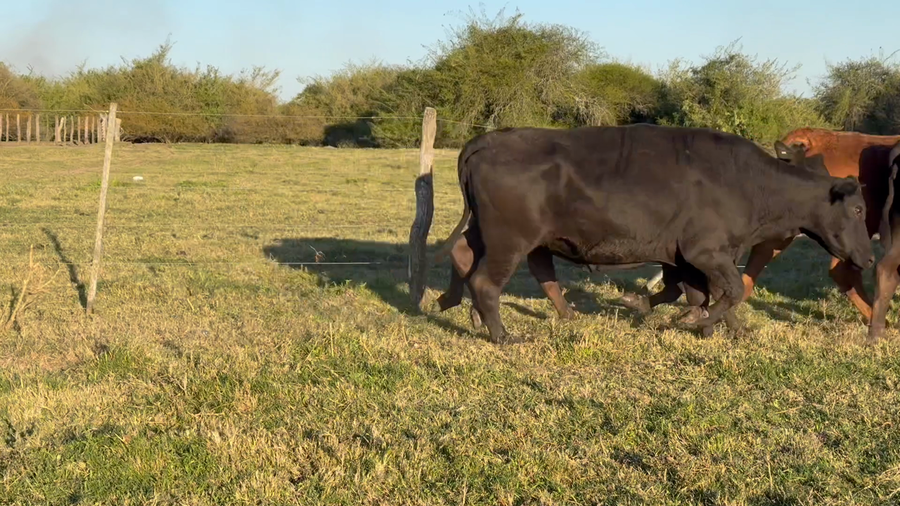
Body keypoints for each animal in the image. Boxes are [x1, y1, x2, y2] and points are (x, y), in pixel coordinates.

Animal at [431, 124, 873, 344]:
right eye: (857, 209)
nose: (869, 258)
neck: (749, 182)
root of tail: (491, 139)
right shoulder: (706, 252)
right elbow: (728, 290)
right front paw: (694, 324)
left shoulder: (693, 257)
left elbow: (707, 293)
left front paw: (724, 329)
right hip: (510, 240)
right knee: (486, 282)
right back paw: (503, 335)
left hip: (489, 233)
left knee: (466, 259)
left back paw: (467, 310)